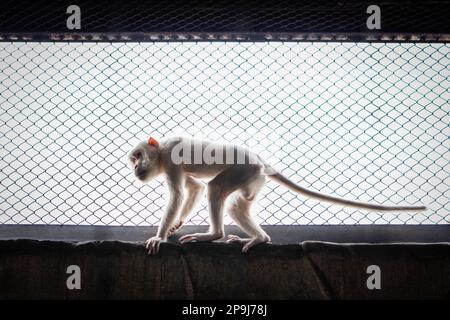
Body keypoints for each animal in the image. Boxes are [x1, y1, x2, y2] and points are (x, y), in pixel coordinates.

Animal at [128, 136, 428, 254]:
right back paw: (259, 238)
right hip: (253, 179)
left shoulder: (171, 158)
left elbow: (180, 194)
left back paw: (214, 235)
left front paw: (160, 236)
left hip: (244, 170)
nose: (134, 168)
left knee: (216, 189)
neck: (162, 150)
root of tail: (261, 161)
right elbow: (194, 188)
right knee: (235, 205)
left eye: (138, 156)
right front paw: (175, 225)